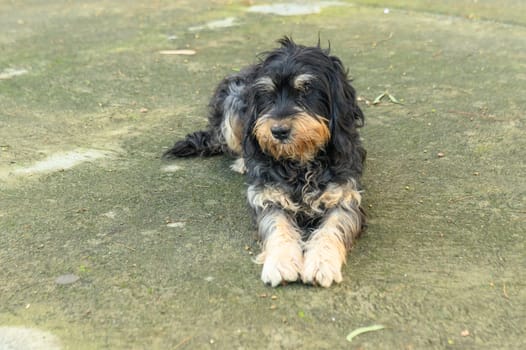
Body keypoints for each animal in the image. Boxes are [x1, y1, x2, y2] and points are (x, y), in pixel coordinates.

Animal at [165, 37, 368, 288]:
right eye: (267, 94)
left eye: (306, 90)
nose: (278, 132)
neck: (301, 164)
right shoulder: (267, 196)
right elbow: (277, 225)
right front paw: (281, 262)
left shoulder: (345, 196)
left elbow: (332, 228)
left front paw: (321, 263)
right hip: (233, 100)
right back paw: (244, 162)